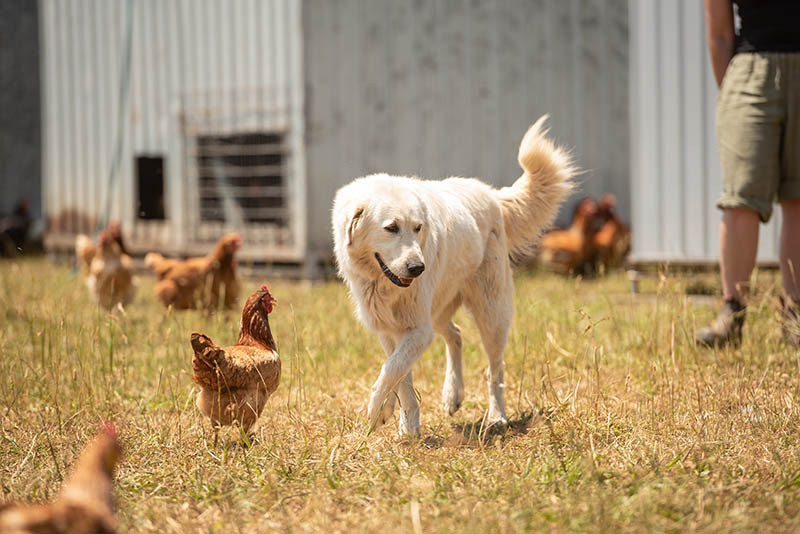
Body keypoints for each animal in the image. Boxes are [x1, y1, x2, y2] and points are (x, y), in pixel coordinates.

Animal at [332, 115, 576, 438]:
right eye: (391, 228)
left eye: (418, 228)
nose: (418, 269)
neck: (382, 284)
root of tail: (491, 194)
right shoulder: (391, 330)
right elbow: (400, 376)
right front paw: (405, 425)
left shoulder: (418, 331)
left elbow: (391, 370)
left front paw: (377, 411)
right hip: (441, 309)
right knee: (456, 334)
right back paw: (453, 395)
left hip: (491, 315)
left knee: (495, 370)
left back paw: (497, 416)